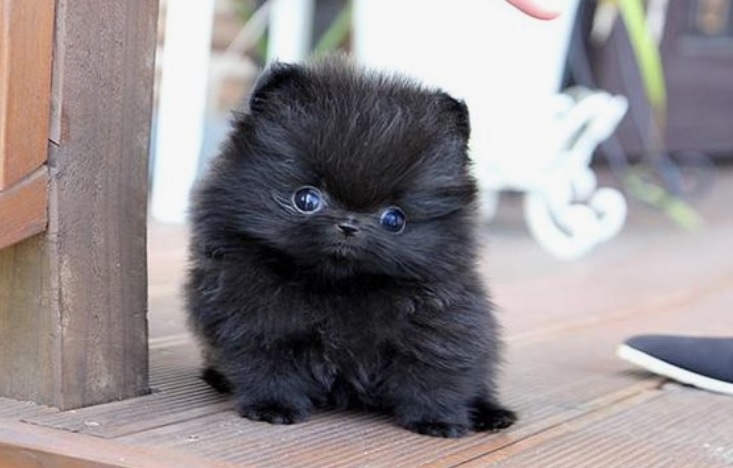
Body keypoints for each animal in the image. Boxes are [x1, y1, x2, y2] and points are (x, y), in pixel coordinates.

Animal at [184, 56, 516, 436]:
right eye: (306, 199)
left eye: (394, 219)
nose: (349, 225)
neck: (340, 286)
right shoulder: (257, 319)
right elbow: (268, 364)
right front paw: (273, 406)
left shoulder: (441, 325)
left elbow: (434, 373)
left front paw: (437, 420)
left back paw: (492, 414)